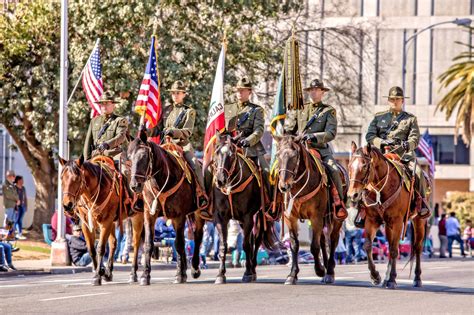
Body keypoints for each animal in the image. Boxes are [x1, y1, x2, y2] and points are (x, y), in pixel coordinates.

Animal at [58, 156, 143, 286]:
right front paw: (100, 271)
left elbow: (100, 248)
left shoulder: (106, 222)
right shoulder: (86, 224)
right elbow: (92, 249)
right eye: (62, 178)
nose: (67, 205)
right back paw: (108, 272)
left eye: (77, 178)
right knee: (113, 243)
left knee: (136, 243)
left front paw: (98, 275)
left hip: (136, 217)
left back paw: (133, 274)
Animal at [129, 130, 205, 286]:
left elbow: (179, 244)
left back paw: (194, 269)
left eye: (144, 156)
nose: (134, 185)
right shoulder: (149, 214)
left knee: (197, 236)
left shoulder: (179, 216)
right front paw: (145, 275)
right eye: (129, 157)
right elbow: (148, 244)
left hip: (198, 213)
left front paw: (180, 275)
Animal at [211, 132, 278, 286]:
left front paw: (247, 273)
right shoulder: (221, 217)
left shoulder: (248, 216)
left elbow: (246, 244)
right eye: (216, 152)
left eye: (232, 155)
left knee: (256, 240)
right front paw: (220, 274)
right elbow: (223, 245)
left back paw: (252, 269)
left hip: (259, 216)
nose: (220, 180)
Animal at [274, 136, 344, 286]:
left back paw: (329, 272)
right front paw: (292, 275)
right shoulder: (290, 218)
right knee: (323, 240)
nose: (284, 186)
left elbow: (314, 246)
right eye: (277, 155)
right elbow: (294, 245)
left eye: (294, 156)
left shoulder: (316, 217)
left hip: (335, 219)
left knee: (333, 241)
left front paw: (319, 270)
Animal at [346, 142, 428, 290]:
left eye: (365, 166)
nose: (352, 195)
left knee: (417, 247)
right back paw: (385, 278)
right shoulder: (371, 220)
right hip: (389, 226)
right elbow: (368, 245)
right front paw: (375, 276)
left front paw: (392, 279)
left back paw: (417, 278)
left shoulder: (397, 222)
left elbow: (395, 250)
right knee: (390, 246)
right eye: (349, 165)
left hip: (418, 221)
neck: (380, 189)